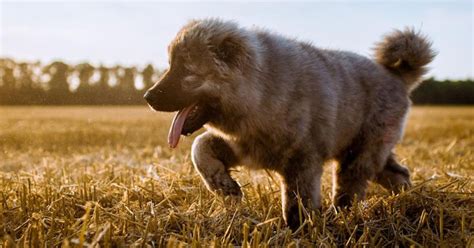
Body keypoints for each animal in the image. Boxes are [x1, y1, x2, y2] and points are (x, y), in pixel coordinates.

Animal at [144, 18, 436, 230]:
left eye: (185, 70)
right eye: (170, 66)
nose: (148, 96)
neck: (259, 91)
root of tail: (396, 75)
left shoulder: (303, 160)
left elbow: (298, 200)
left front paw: (298, 230)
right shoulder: (242, 146)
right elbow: (200, 147)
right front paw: (225, 187)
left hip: (359, 154)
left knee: (350, 188)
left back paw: (342, 216)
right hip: (367, 151)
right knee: (397, 173)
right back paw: (410, 199)